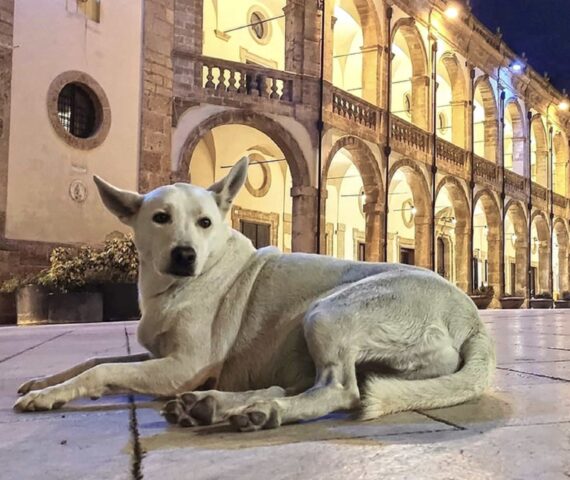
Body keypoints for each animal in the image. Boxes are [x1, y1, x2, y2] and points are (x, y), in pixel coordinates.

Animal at [13, 158, 492, 432]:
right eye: (160, 217)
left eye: (205, 222)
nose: (184, 255)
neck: (174, 289)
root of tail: (472, 320)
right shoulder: (156, 356)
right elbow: (92, 359)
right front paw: (45, 381)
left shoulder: (180, 366)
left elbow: (101, 370)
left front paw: (49, 396)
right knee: (294, 385)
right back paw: (214, 406)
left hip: (327, 313)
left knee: (339, 390)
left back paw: (262, 411)